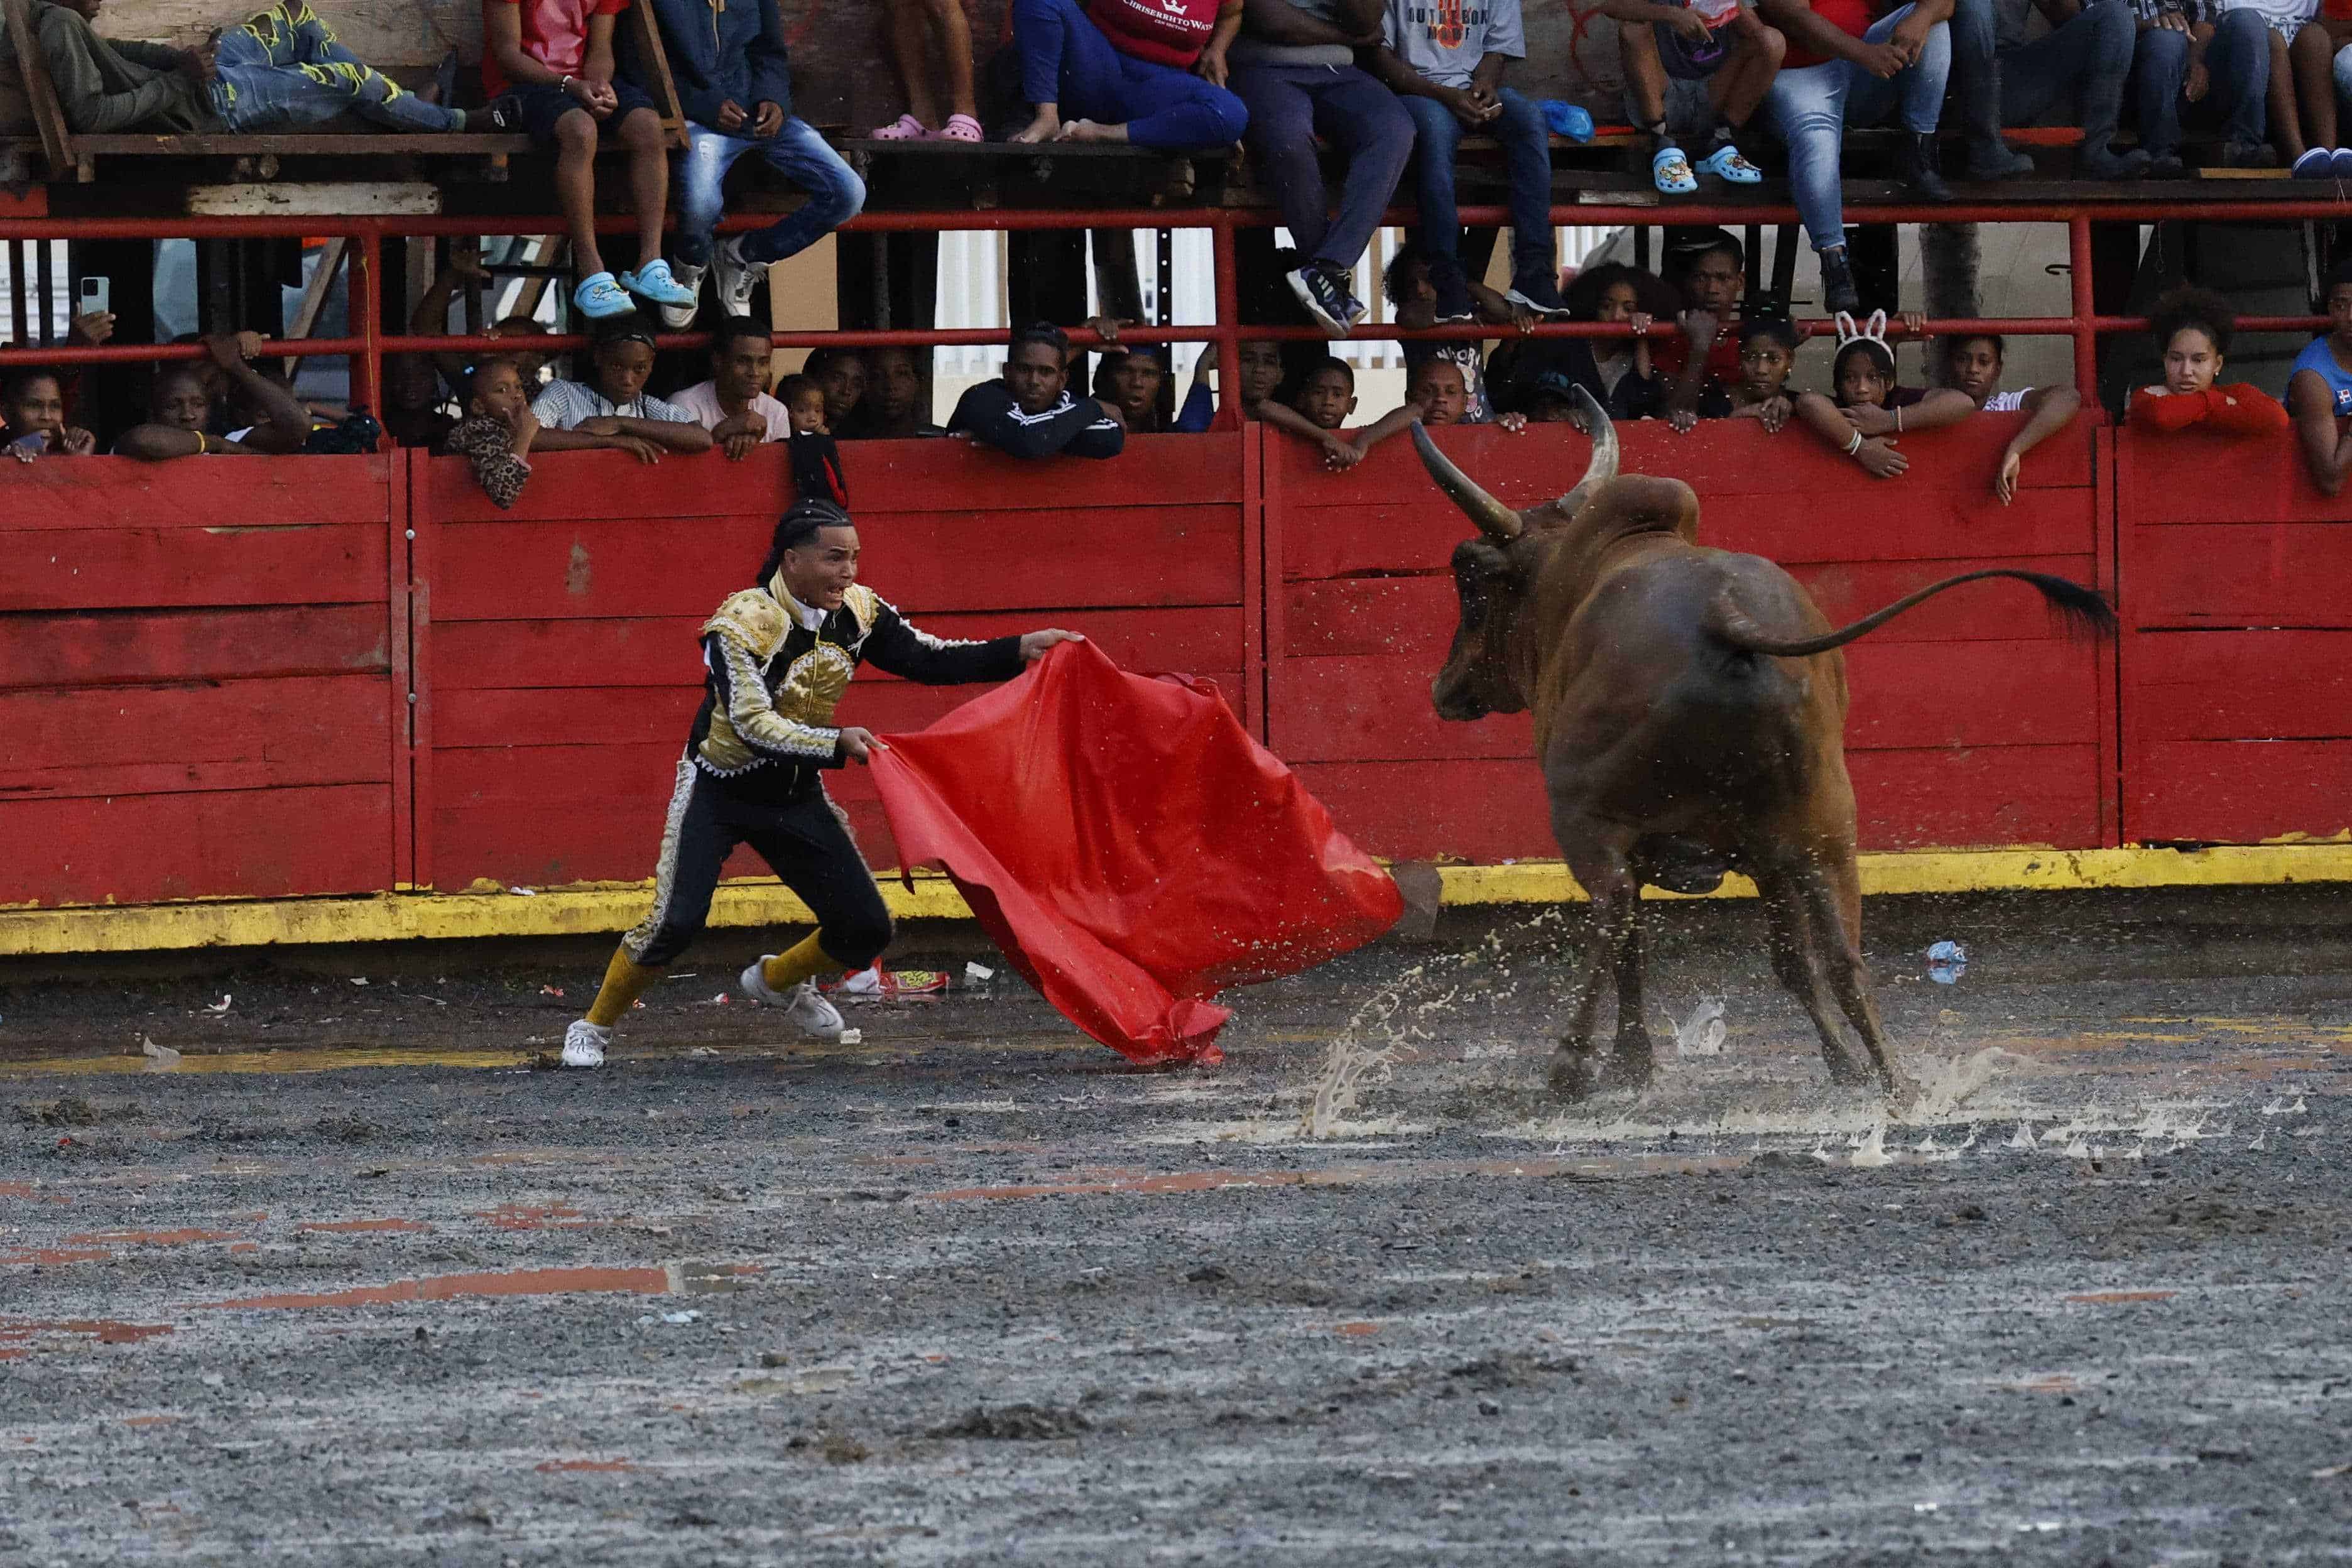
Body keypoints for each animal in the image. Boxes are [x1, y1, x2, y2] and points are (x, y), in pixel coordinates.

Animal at [1411, 392, 2116, 1104]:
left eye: (1469, 582)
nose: (1444, 689)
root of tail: (1724, 619)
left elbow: (1636, 946)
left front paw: (1627, 1063)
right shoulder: (1770, 855)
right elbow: (1794, 963)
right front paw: (1844, 1065)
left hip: (1590, 821)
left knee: (1615, 913)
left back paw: (1573, 1062)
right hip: (1823, 833)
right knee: (1843, 961)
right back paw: (1895, 1084)